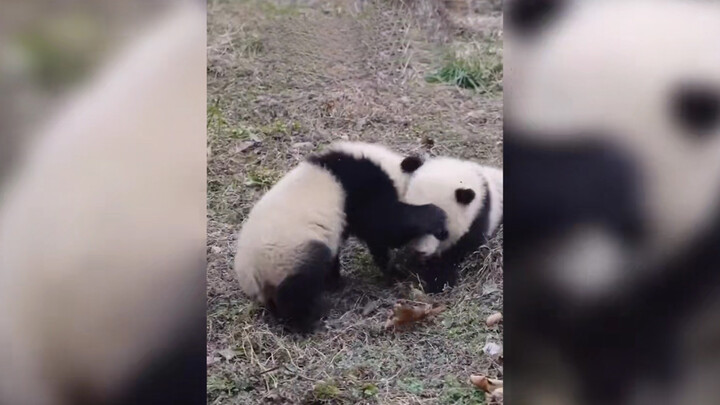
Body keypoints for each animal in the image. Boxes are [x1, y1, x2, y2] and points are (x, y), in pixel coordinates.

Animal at [233, 140, 448, 330]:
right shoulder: (361, 186)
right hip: (287, 255)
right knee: (300, 284)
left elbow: (376, 237)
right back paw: (309, 319)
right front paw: (436, 216)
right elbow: (385, 223)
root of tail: (252, 278)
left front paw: (391, 269)